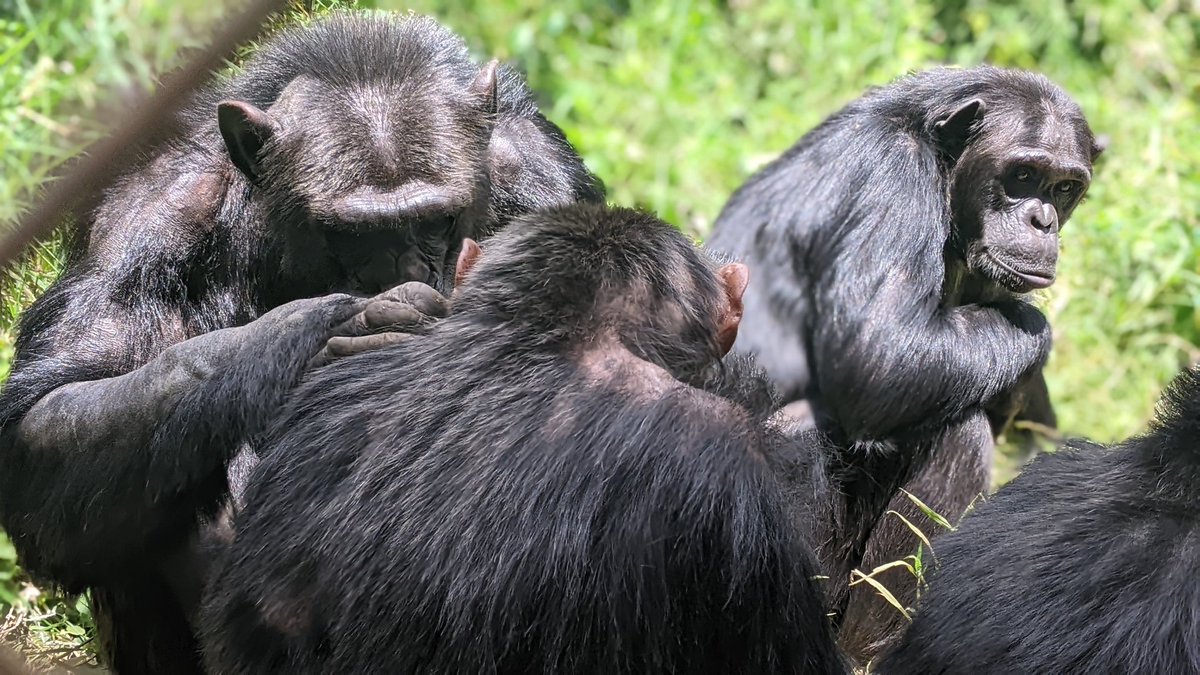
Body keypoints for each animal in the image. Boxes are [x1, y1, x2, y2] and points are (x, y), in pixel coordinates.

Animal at [0, 11, 600, 672]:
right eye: (351, 234)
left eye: (437, 221)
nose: (404, 271)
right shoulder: (144, 213)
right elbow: (48, 413)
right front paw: (336, 332)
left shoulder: (548, 182)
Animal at [700, 63, 1104, 658]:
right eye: (1023, 175)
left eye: (1066, 187)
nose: (1042, 220)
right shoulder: (892, 177)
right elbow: (882, 352)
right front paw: (1033, 327)